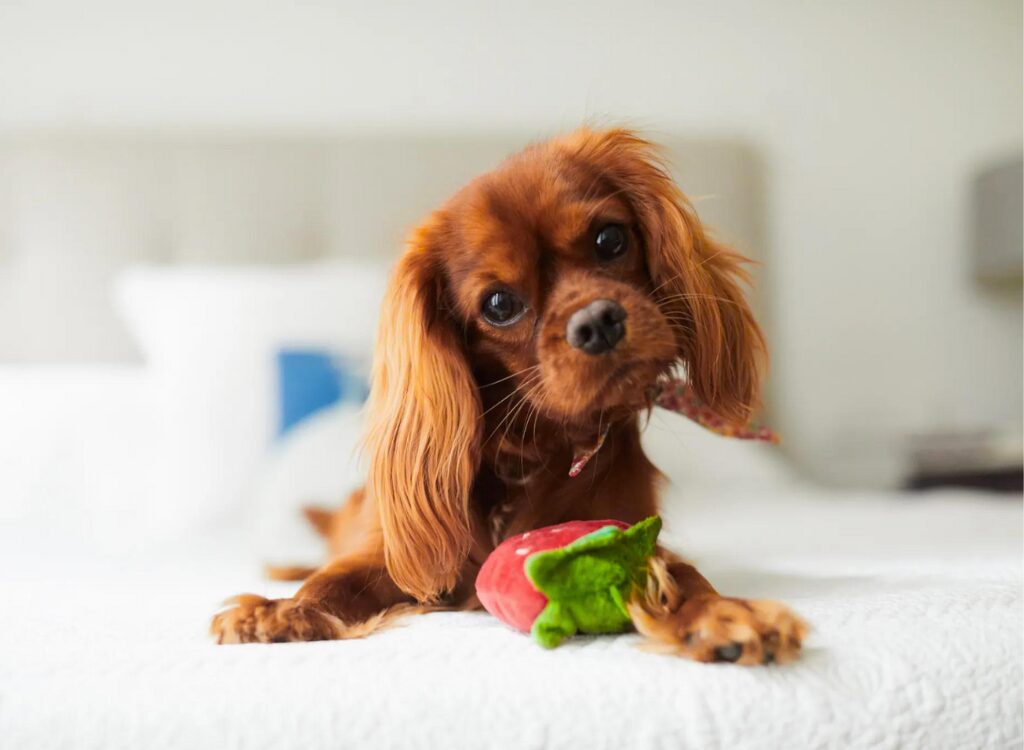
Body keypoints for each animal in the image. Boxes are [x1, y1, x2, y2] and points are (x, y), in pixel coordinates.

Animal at [211, 130, 806, 668]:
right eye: (499, 305)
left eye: (610, 240)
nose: (597, 322)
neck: (528, 458)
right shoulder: (395, 560)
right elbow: (337, 580)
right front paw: (283, 611)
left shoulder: (632, 534)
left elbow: (679, 574)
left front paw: (722, 614)